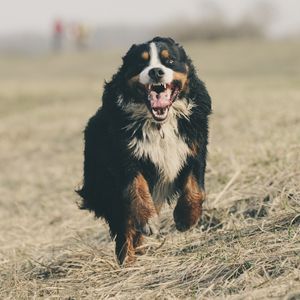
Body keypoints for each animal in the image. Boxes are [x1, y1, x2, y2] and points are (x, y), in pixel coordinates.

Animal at [78, 36, 213, 264]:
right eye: (141, 63)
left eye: (169, 60)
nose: (156, 72)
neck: (160, 124)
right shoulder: (125, 158)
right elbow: (136, 189)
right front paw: (148, 220)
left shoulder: (194, 148)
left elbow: (196, 188)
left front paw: (186, 218)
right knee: (125, 227)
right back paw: (128, 260)